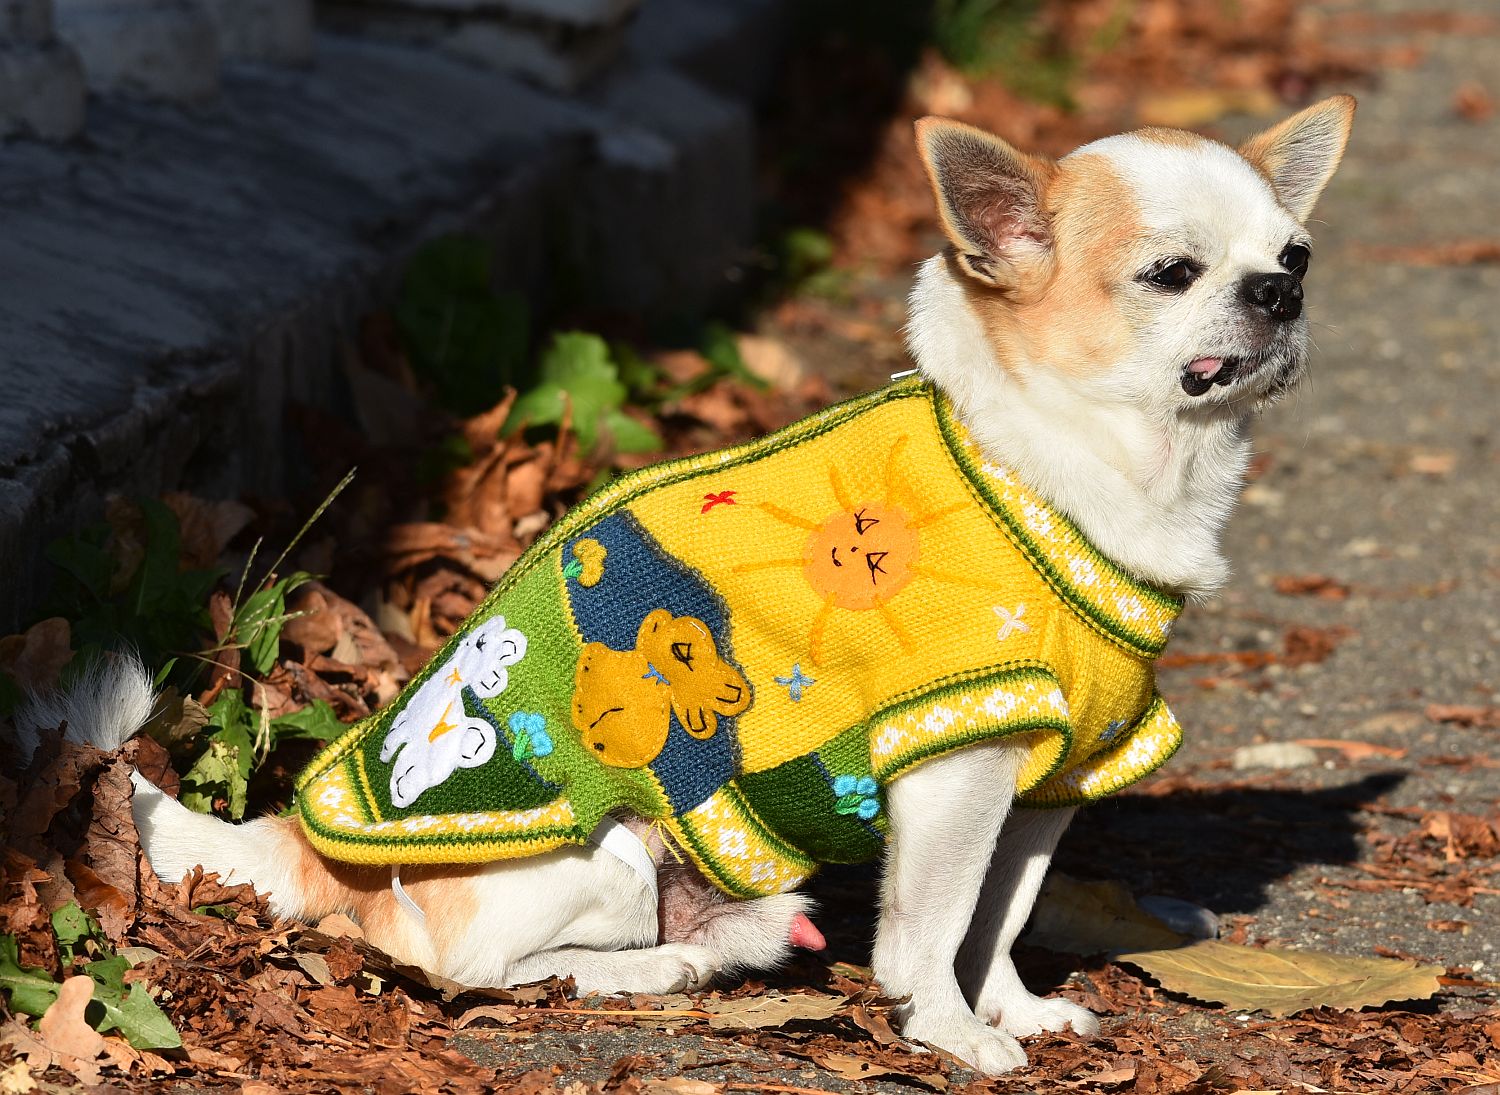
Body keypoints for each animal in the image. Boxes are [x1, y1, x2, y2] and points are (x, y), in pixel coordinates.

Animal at [45, 96, 1352, 1076]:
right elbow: (933, 927)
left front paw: (1012, 1006)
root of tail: (302, 843)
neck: (1080, 466)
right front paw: (950, 1032)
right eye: (1171, 273)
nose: (1282, 291)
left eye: (1294, 254)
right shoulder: (956, 762)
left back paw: (736, 939)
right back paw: (663, 966)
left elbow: (1002, 912)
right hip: (600, 849)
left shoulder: (1050, 773)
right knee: (460, 969)